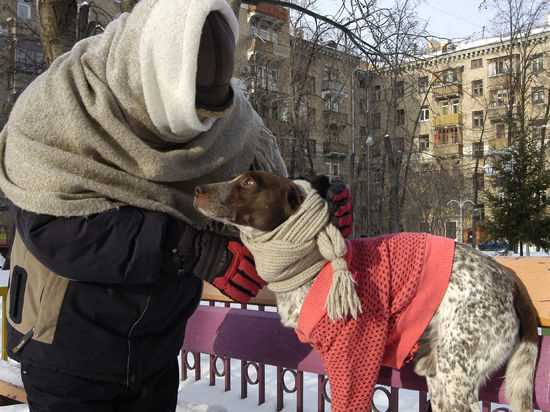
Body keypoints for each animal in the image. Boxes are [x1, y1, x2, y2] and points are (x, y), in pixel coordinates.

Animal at [194, 171, 540, 412]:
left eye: (250, 181)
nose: (197, 189)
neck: (313, 262)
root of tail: (509, 279)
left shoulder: (354, 362)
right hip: (442, 376)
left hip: (455, 375)